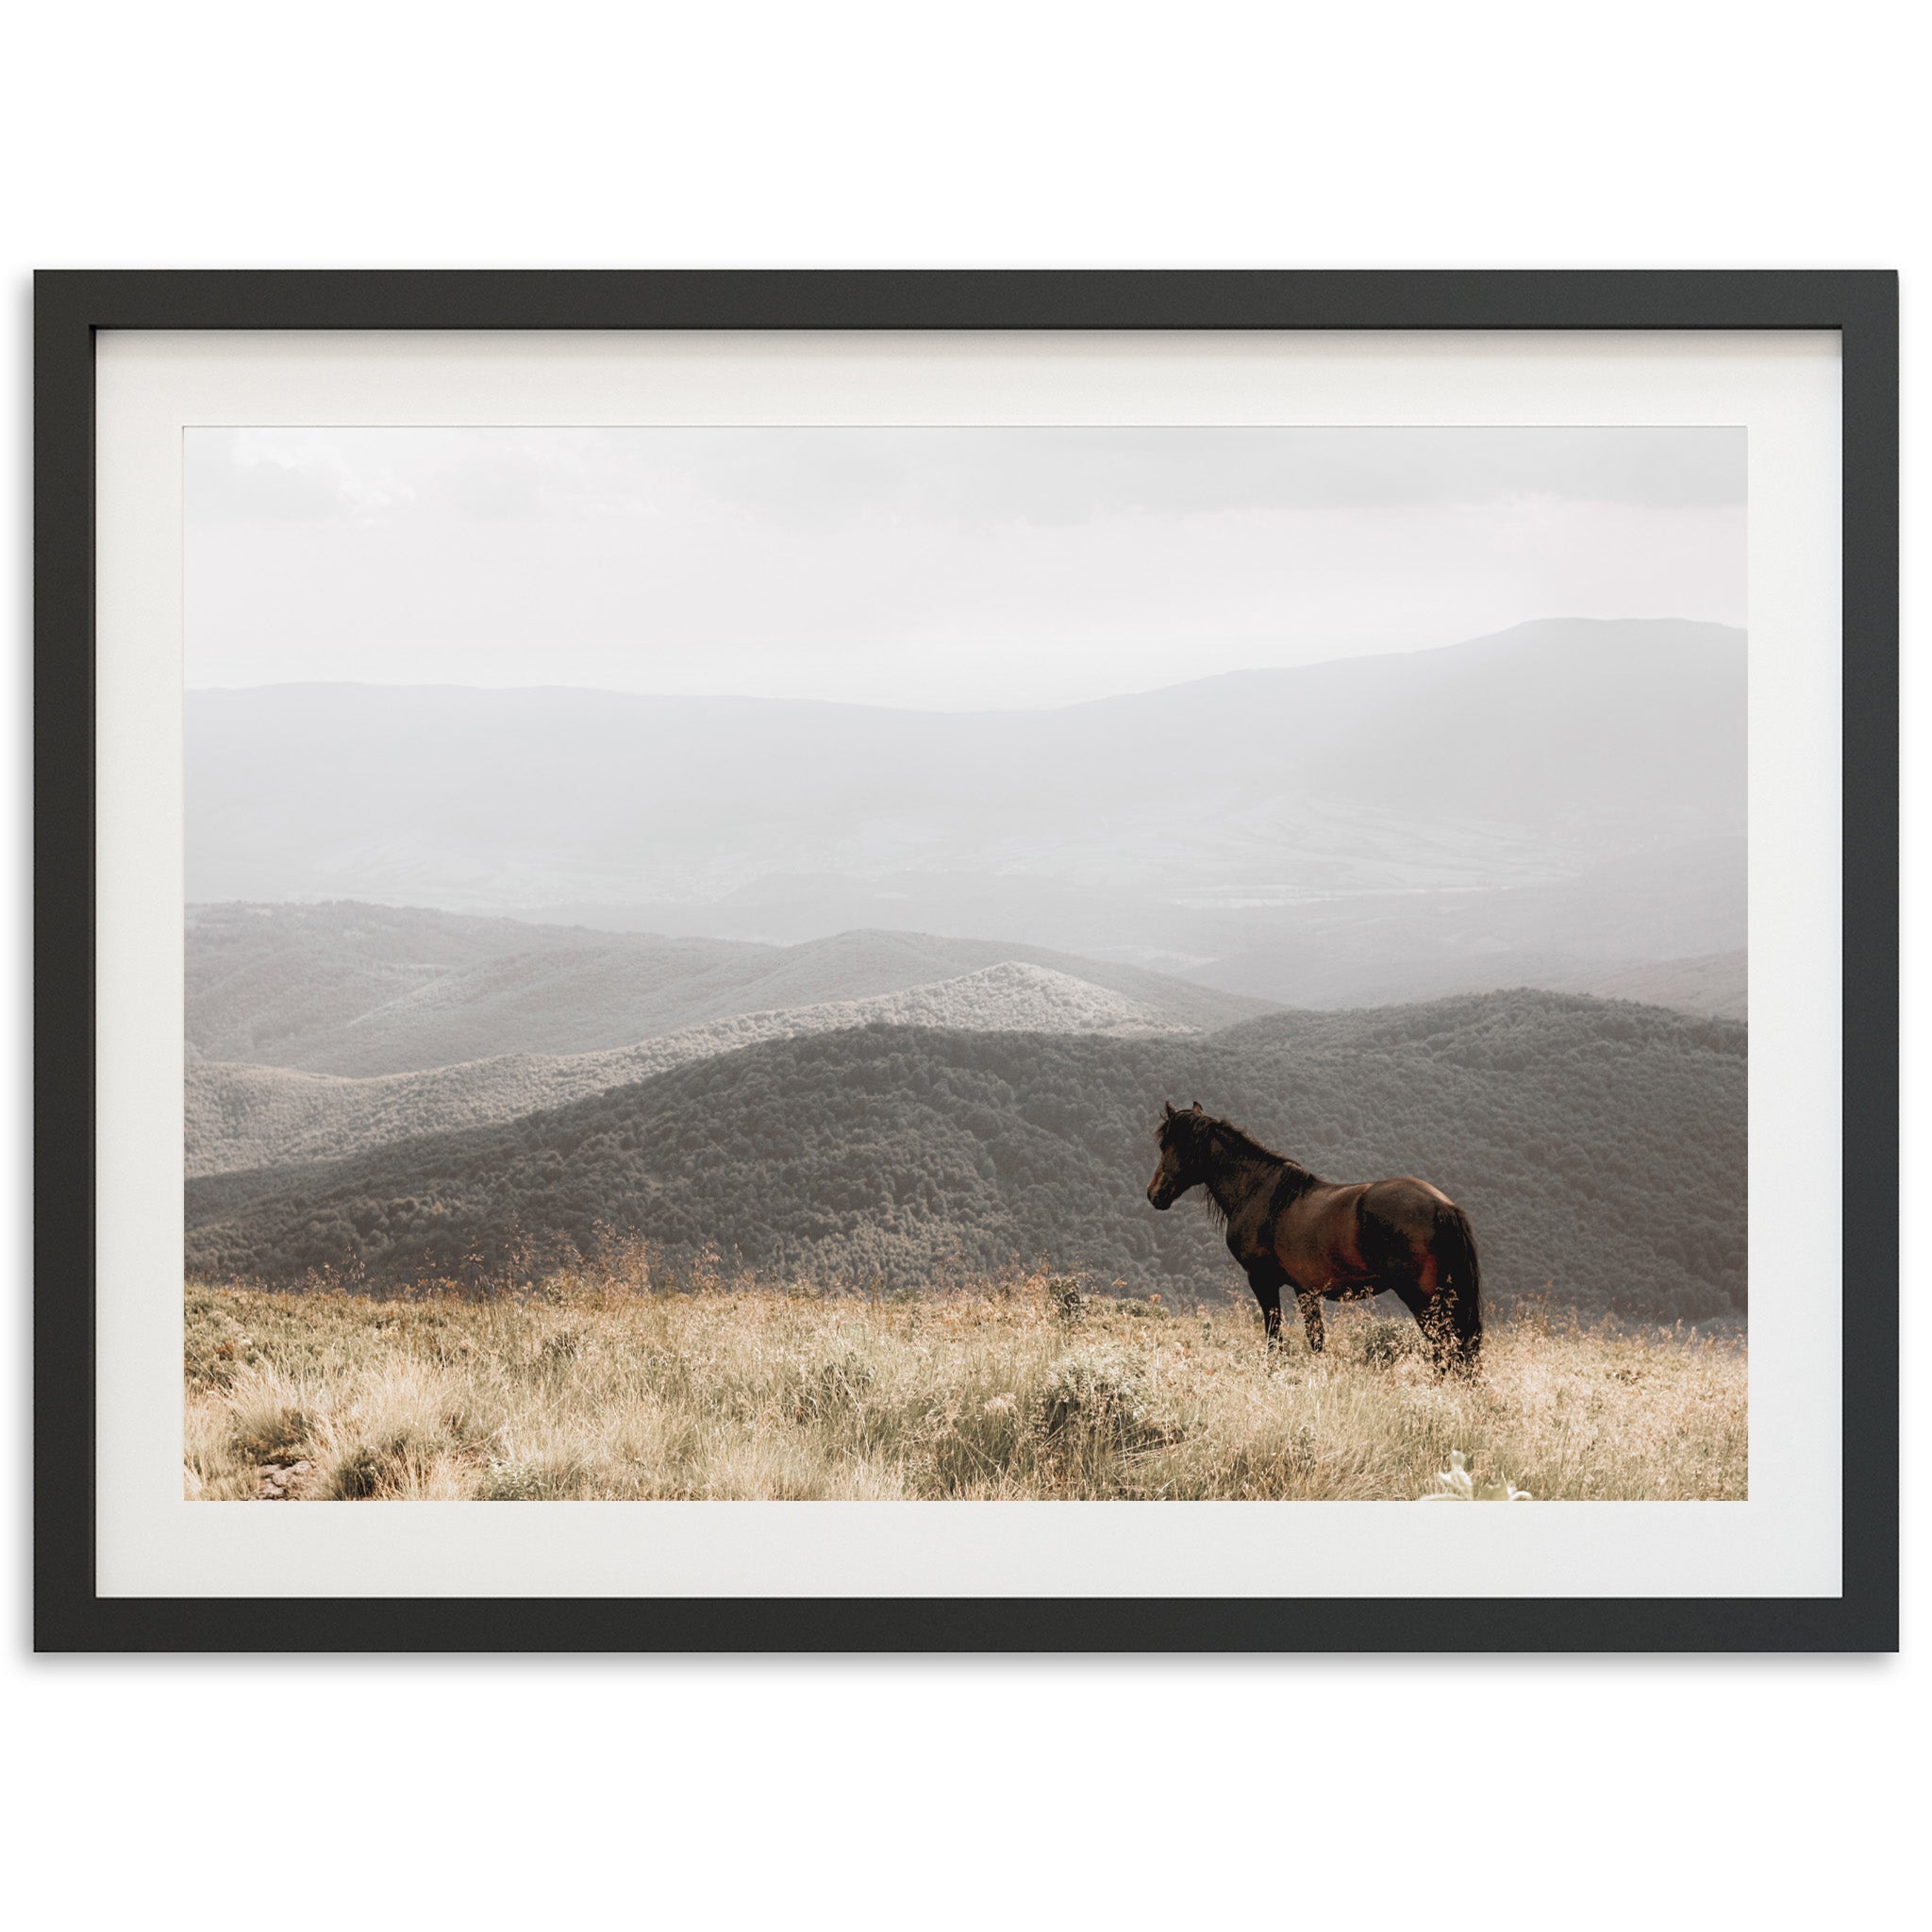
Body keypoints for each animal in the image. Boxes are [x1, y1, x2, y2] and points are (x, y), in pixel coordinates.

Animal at [1143, 1105, 1475, 1375]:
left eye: (1165, 1144)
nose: (1153, 1193)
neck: (1260, 1193)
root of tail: (1442, 1206)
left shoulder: (1262, 1281)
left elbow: (1274, 1334)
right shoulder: (1305, 1290)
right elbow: (1315, 1340)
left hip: (1424, 1300)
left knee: (1447, 1349)